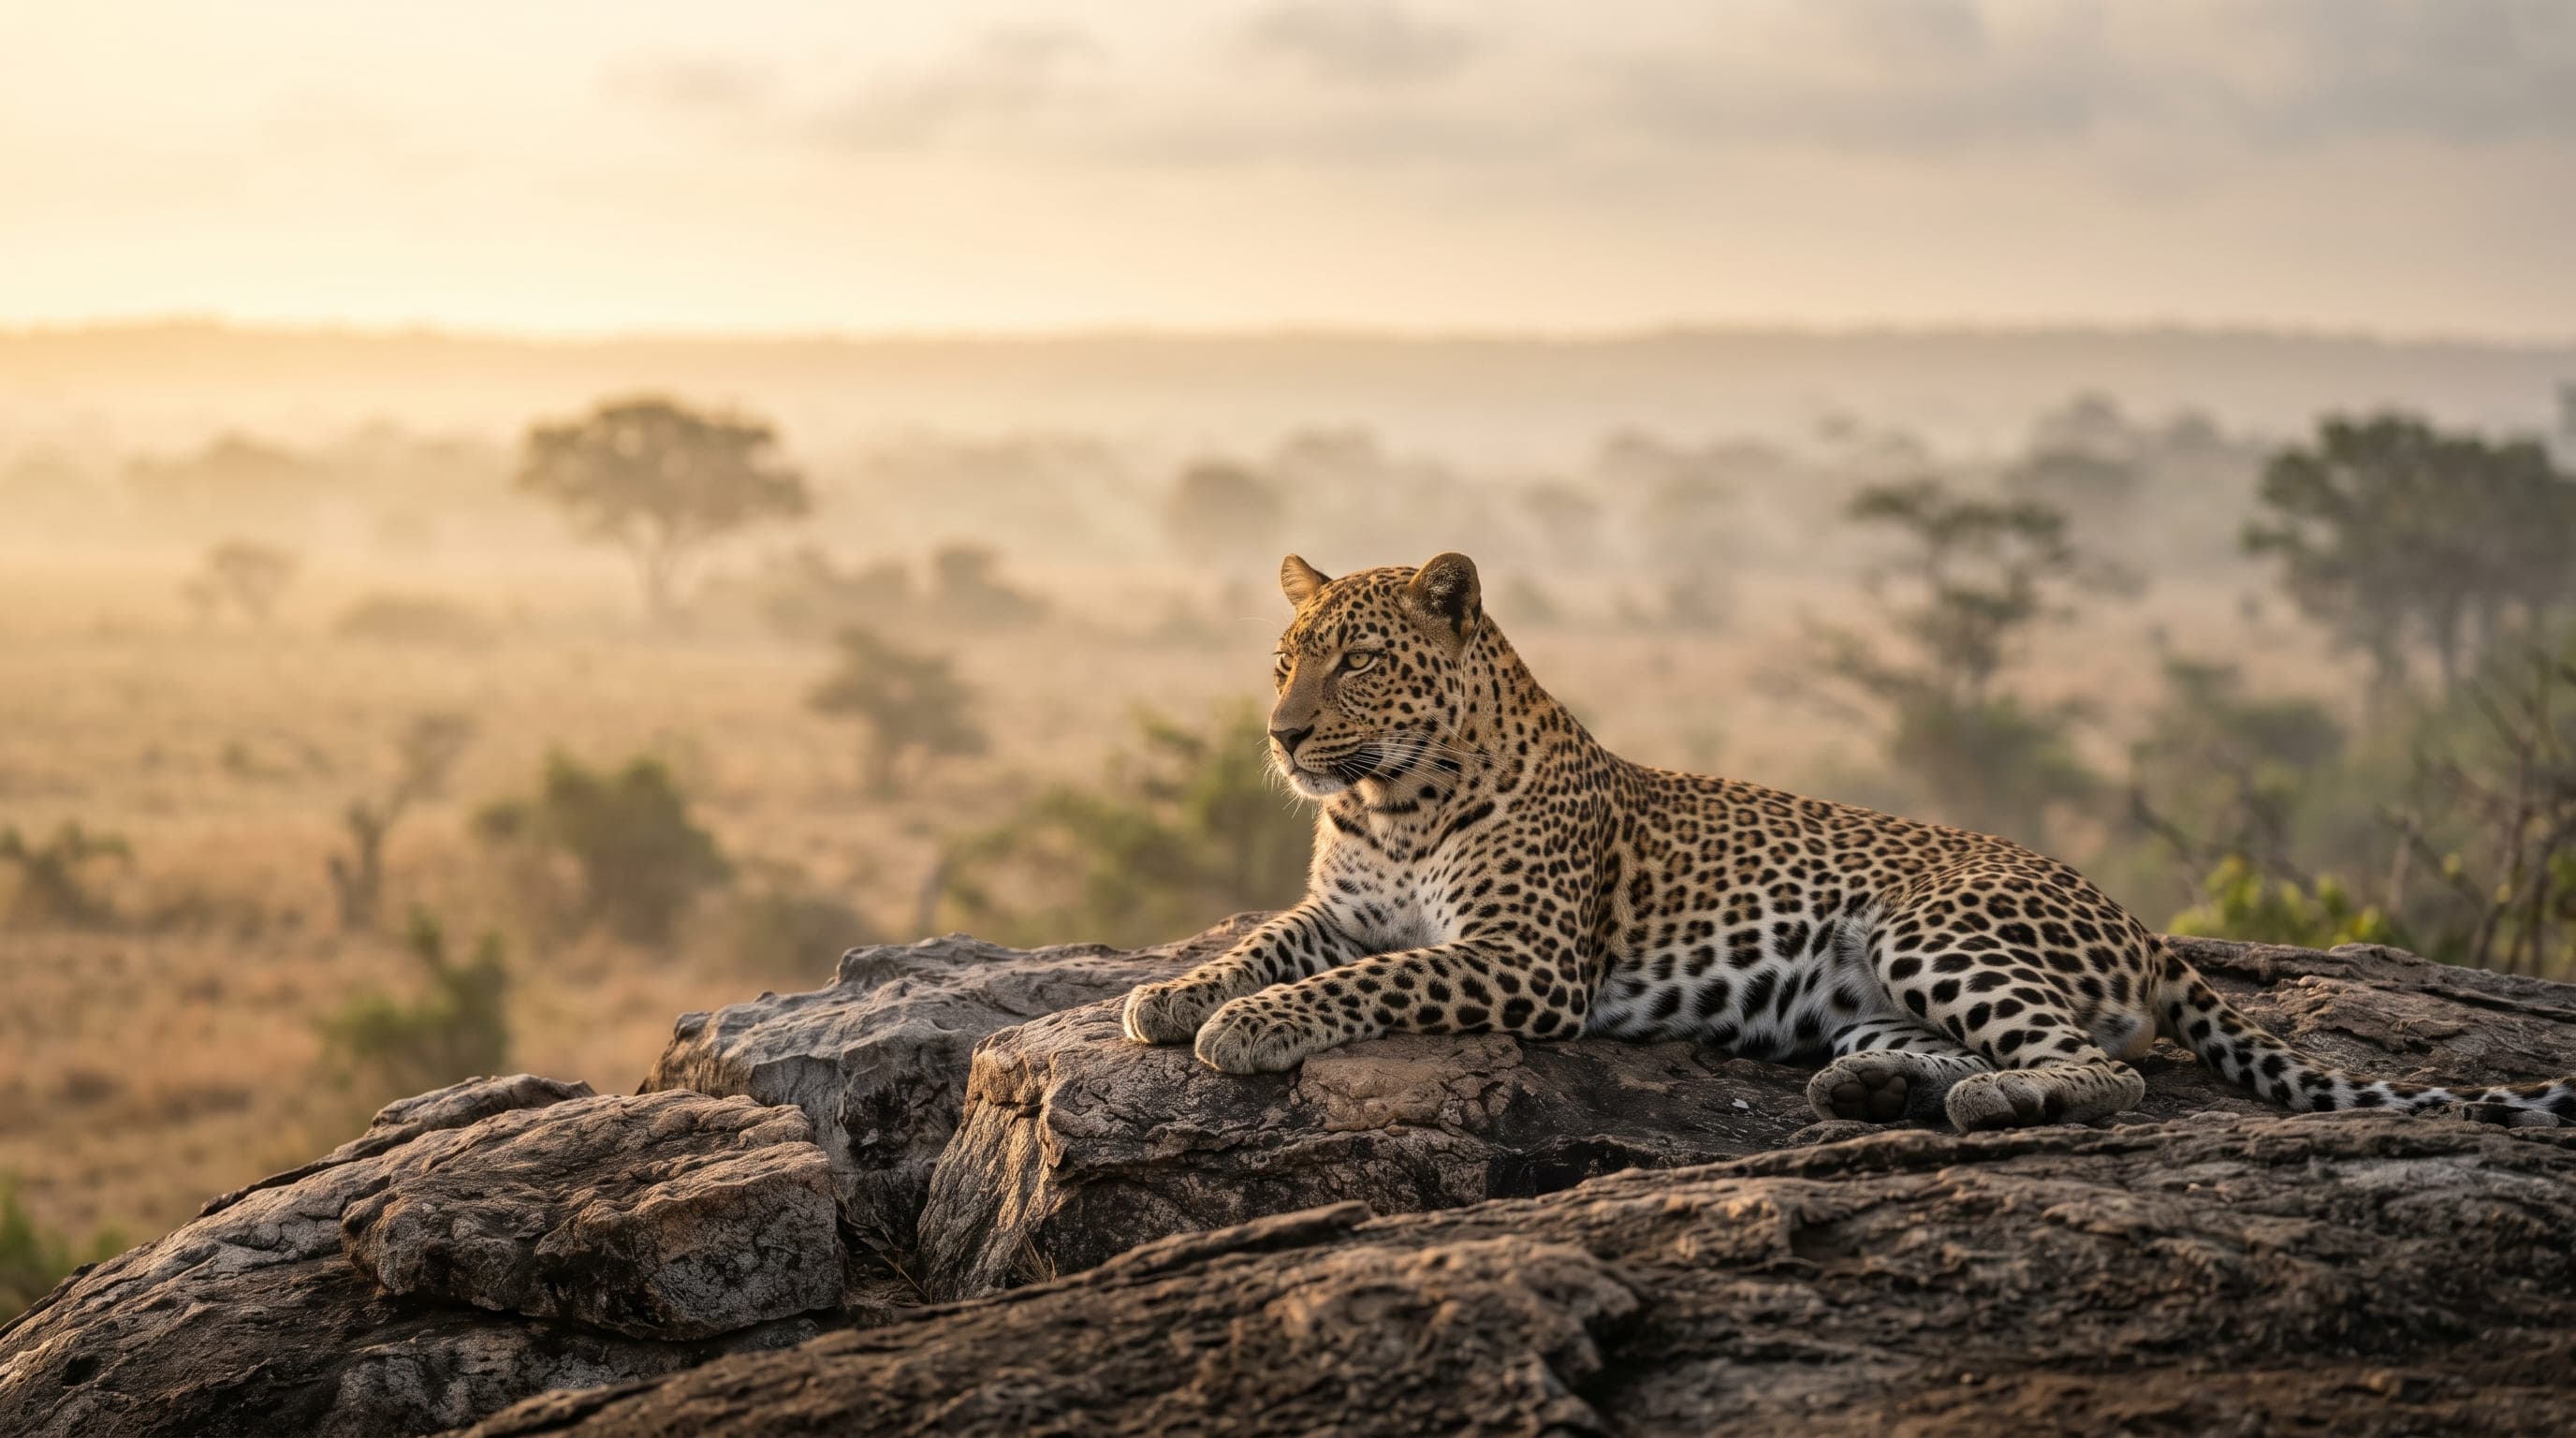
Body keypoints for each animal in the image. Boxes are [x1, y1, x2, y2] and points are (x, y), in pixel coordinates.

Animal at [1121, 550, 2576, 1133]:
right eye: (1282, 662)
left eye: (1359, 664)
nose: (1282, 738)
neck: (1396, 798)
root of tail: (2137, 921)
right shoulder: (1344, 905)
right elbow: (1274, 942)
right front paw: (1173, 994)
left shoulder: (1522, 962)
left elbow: (1368, 981)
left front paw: (1240, 1029)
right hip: (1869, 991)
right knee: (1984, 1050)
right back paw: (1875, 1092)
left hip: (1933, 926)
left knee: (2103, 1071)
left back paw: (1987, 1103)